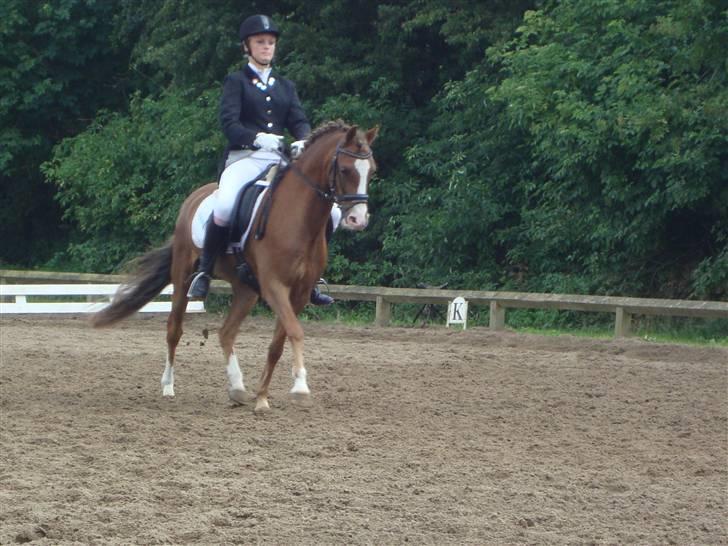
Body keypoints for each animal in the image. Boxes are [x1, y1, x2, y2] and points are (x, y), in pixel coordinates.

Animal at [91, 120, 378, 412]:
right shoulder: (274, 286)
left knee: (226, 333)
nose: (358, 219)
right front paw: (300, 388)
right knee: (174, 329)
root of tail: (196, 195)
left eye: (372, 171)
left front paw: (262, 397)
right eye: (344, 169)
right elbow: (296, 332)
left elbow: (278, 343)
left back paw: (238, 388)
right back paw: (169, 386)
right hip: (183, 275)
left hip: (246, 289)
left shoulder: (299, 292)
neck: (299, 220)